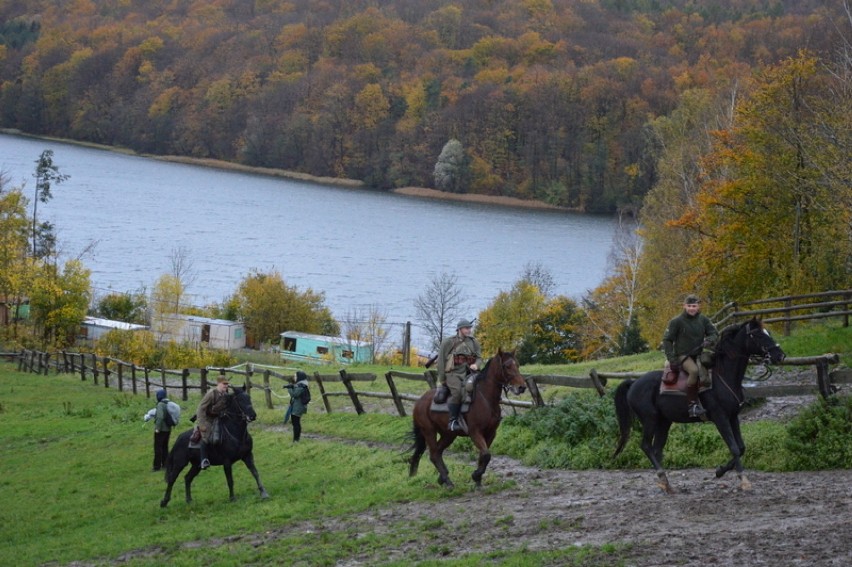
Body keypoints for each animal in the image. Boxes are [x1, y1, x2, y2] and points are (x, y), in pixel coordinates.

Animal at [406, 348, 524, 490]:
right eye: (507, 366)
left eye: (517, 365)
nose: (522, 387)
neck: (486, 398)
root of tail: (419, 402)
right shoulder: (475, 432)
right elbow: (486, 455)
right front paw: (475, 475)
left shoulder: (491, 433)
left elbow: (483, 456)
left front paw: (478, 480)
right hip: (429, 431)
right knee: (434, 454)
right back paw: (448, 482)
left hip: (448, 435)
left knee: (438, 452)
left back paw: (442, 478)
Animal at [612, 318, 784, 494]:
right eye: (758, 335)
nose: (780, 356)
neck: (723, 376)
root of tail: (633, 383)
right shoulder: (720, 417)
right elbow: (734, 447)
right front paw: (744, 480)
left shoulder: (733, 416)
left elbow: (741, 447)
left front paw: (720, 471)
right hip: (650, 420)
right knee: (646, 446)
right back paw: (662, 477)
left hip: (664, 422)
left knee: (656, 449)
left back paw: (665, 483)